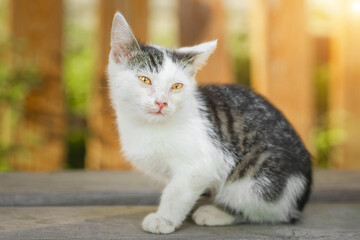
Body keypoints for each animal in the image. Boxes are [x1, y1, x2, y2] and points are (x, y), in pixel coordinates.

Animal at [107, 12, 312, 233]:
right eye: (144, 80)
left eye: (176, 86)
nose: (161, 102)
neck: (147, 125)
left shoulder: (205, 162)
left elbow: (177, 191)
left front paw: (164, 219)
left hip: (261, 180)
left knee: (267, 211)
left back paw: (217, 213)